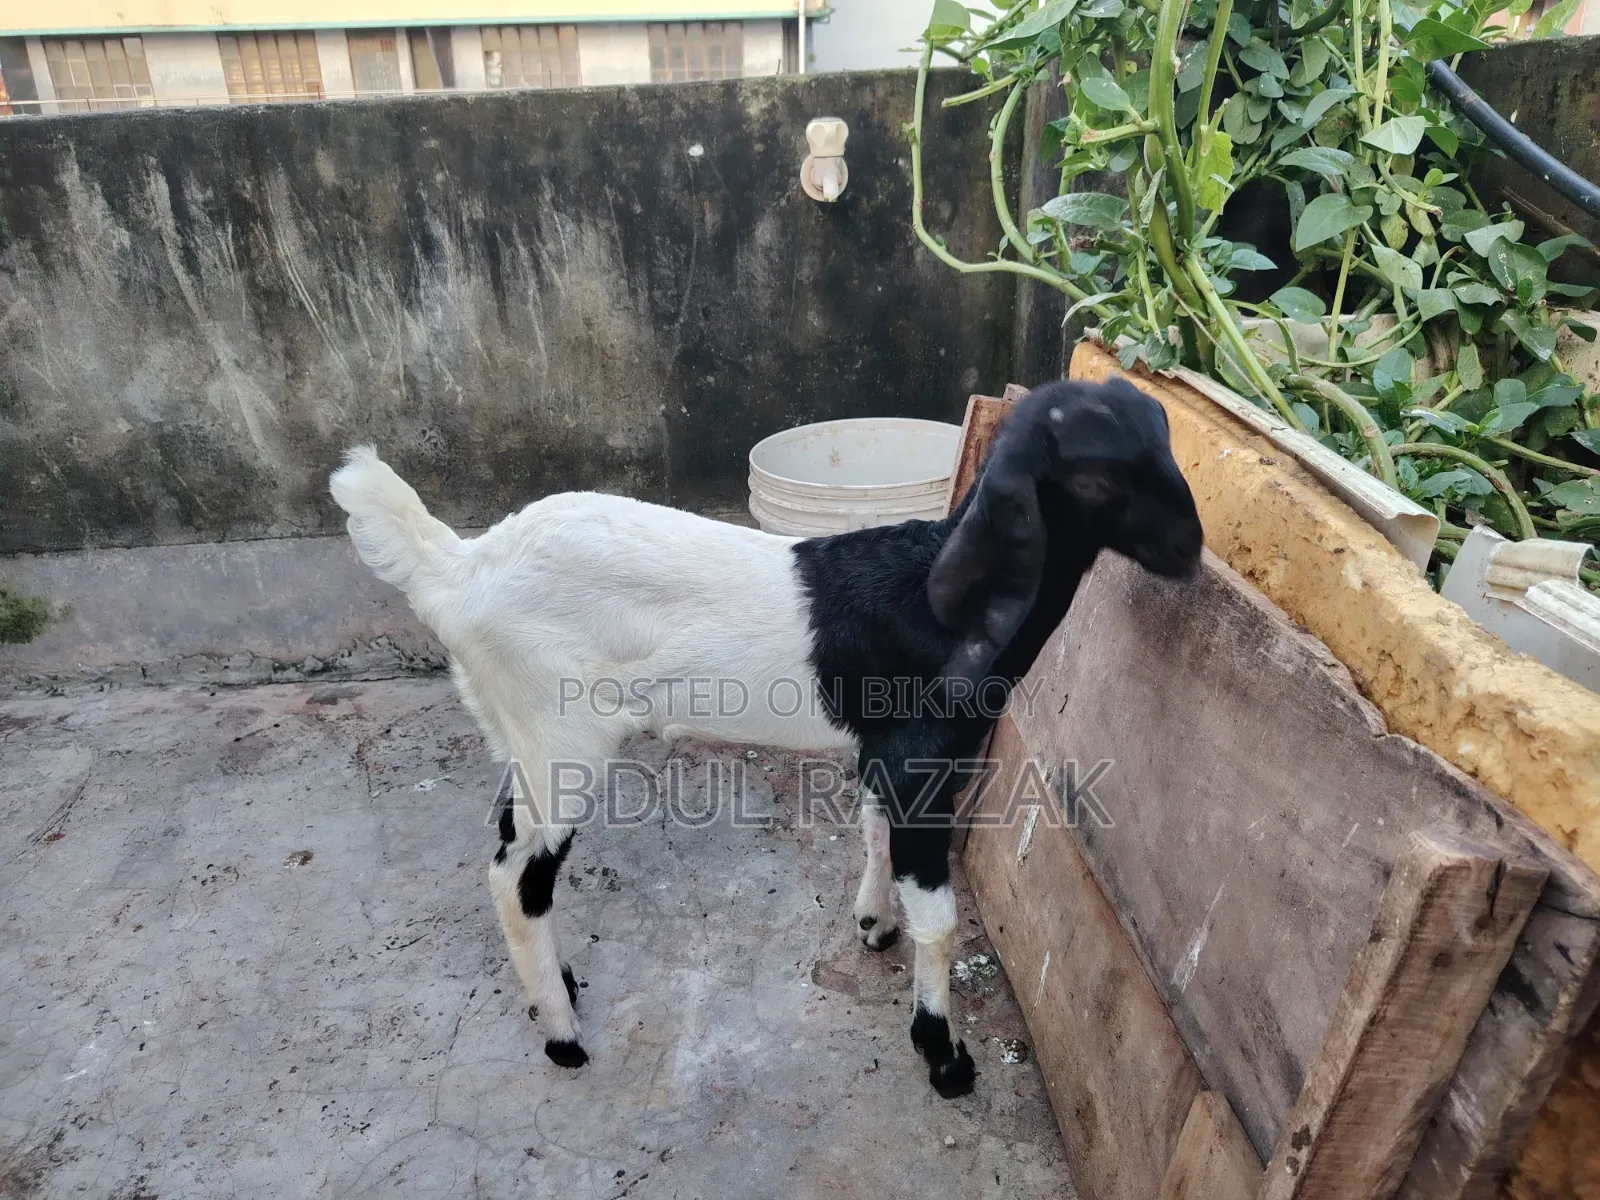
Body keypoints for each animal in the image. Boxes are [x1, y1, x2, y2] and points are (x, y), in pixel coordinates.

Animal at [328, 376, 1203, 1097]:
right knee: (519, 878)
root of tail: (458, 569)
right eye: (1095, 478)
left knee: (511, 853)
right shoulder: (922, 757)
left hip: (513, 728)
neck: (941, 595)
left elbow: (872, 829)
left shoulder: (884, 749)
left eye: (1167, 445)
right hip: (558, 733)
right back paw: (563, 1036)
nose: (1190, 552)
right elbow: (941, 919)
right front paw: (943, 1054)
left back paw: (562, 988)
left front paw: (873, 924)